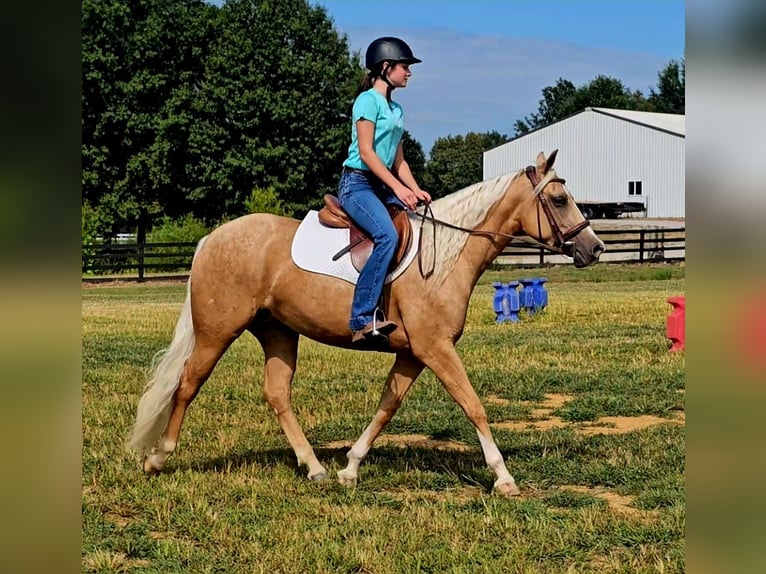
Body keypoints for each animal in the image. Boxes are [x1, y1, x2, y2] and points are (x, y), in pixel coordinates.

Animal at [127, 149, 604, 496]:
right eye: (559, 199)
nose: (595, 248)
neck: (445, 257)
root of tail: (212, 237)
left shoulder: (414, 354)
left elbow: (386, 407)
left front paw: (350, 469)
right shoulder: (436, 349)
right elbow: (473, 405)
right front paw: (503, 477)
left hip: (277, 331)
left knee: (277, 393)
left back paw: (315, 468)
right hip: (217, 331)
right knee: (188, 384)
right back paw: (157, 458)